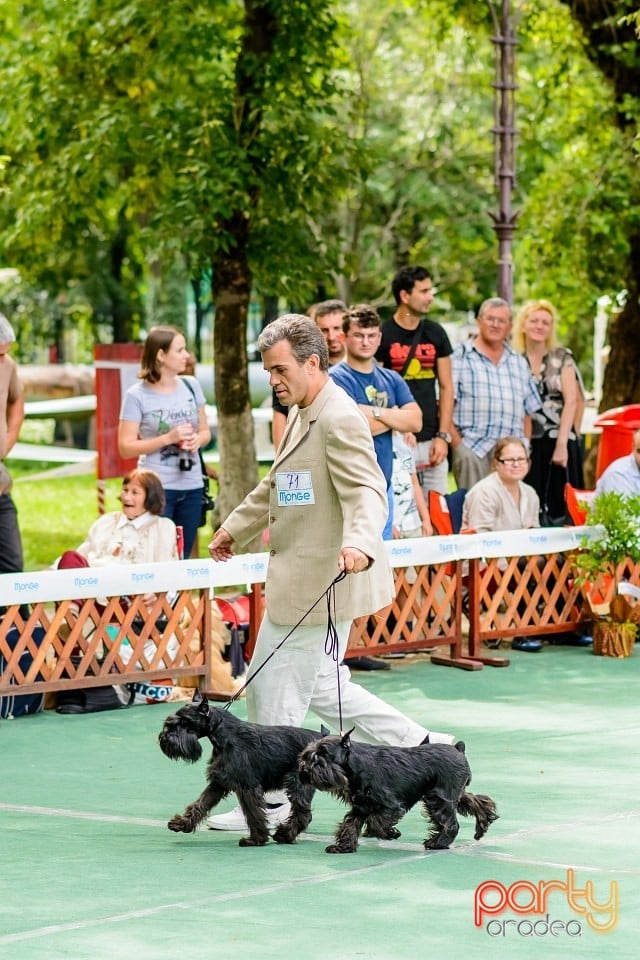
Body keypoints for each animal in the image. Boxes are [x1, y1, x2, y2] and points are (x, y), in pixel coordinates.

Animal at [158, 688, 320, 848]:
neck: (226, 736)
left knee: (303, 814)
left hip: (298, 785)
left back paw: (284, 835)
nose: (165, 737)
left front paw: (255, 840)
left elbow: (254, 814)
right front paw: (182, 823)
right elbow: (200, 803)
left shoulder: (247, 787)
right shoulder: (218, 782)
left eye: (185, 722)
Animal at [298, 732, 498, 860]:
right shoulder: (360, 807)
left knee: (451, 824)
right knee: (476, 801)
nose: (305, 770)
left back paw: (437, 843)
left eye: (323, 755)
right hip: (450, 794)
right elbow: (350, 826)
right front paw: (343, 847)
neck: (357, 765)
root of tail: (458, 749)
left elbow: (376, 823)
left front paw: (390, 833)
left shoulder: (391, 806)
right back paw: (483, 824)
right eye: (307, 755)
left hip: (439, 799)